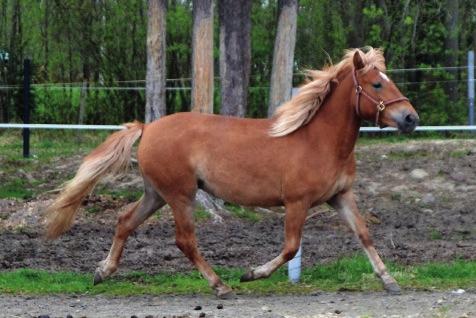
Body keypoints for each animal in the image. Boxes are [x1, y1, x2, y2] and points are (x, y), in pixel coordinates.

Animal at [44, 47, 416, 298]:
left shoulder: (341, 196)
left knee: (124, 221)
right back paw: (221, 285)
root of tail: (147, 128)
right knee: (185, 241)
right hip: (181, 195)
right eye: (376, 84)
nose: (411, 118)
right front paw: (251, 274)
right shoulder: (297, 202)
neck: (318, 140)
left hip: (156, 194)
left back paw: (102, 272)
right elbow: (290, 247)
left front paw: (390, 281)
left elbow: (364, 234)